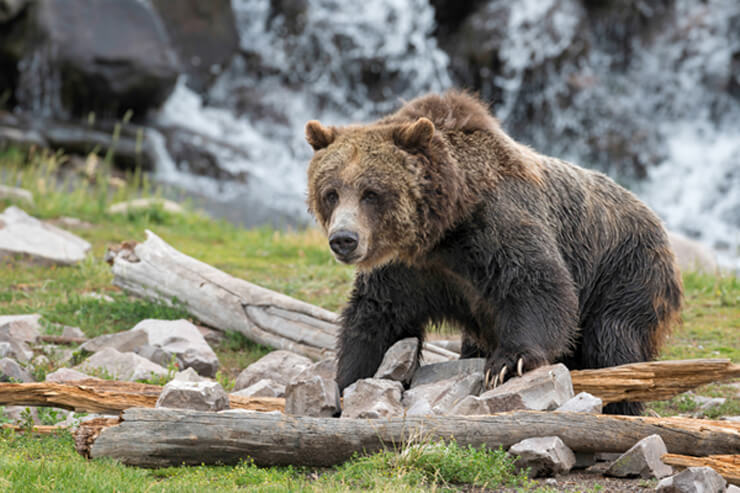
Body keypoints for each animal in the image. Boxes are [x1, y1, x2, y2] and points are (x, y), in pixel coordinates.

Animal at [302, 90, 684, 414]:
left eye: (371, 193)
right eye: (331, 192)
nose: (344, 239)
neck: (443, 230)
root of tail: (655, 219)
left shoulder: (495, 227)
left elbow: (538, 285)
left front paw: (507, 363)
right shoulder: (408, 270)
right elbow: (377, 318)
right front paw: (346, 381)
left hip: (626, 271)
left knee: (613, 341)